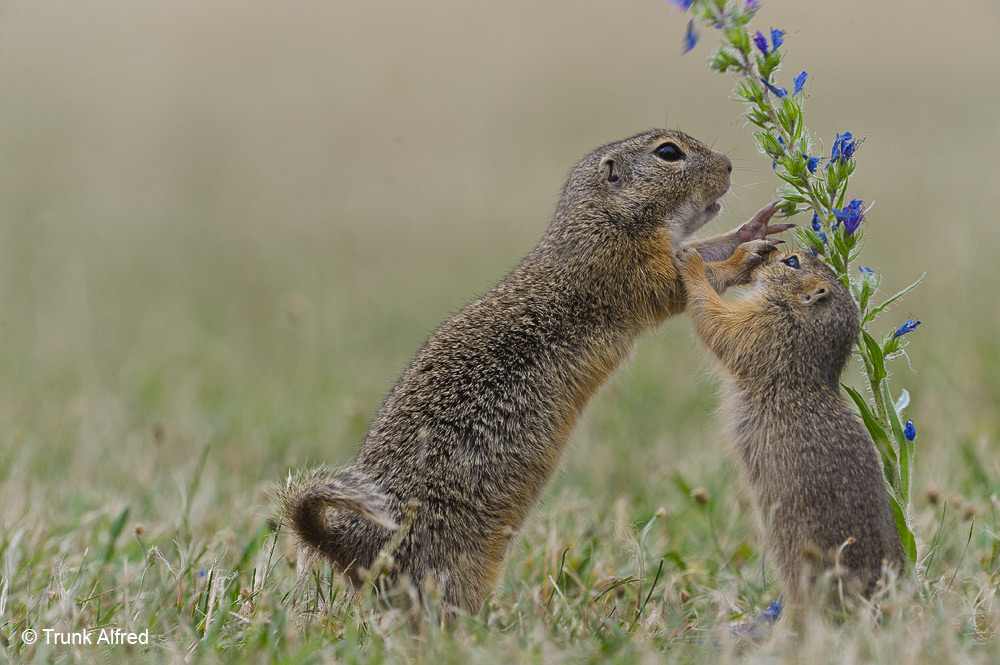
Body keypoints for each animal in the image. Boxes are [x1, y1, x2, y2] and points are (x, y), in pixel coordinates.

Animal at [280, 128, 788, 612]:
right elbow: (688, 279)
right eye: (668, 153)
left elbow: (703, 250)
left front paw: (753, 228)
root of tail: (349, 547)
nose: (727, 165)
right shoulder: (630, 269)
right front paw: (745, 256)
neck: (601, 219)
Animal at [680, 246, 908, 604]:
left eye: (791, 262)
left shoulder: (764, 326)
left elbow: (717, 321)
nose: (770, 249)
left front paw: (692, 262)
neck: (805, 324)